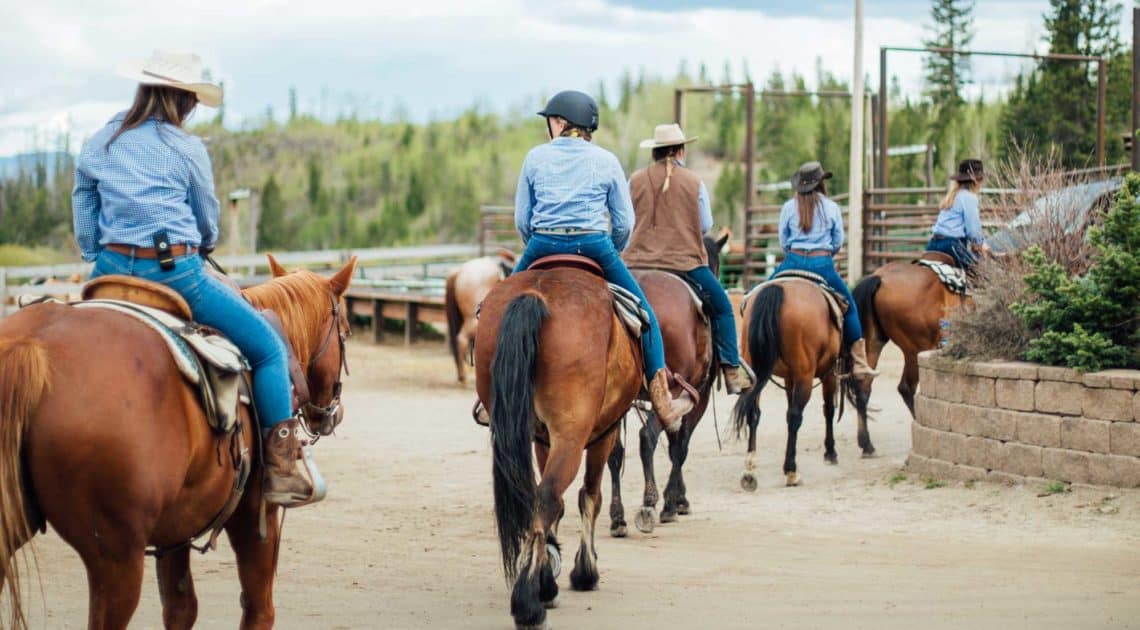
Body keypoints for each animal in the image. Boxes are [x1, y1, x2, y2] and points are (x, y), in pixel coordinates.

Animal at [0, 254, 355, 628]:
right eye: (345, 332)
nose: (333, 411)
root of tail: (33, 346)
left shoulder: (175, 530)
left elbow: (180, 607)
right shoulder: (255, 516)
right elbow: (259, 607)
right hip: (116, 559)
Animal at [476, 257, 647, 624]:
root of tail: (535, 295)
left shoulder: (541, 438)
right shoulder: (604, 434)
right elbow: (590, 496)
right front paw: (585, 571)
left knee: (537, 497)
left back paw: (536, 587)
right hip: (572, 436)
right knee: (549, 497)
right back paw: (528, 602)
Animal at [606, 228, 729, 533]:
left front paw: (678, 498)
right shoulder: (698, 394)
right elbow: (680, 446)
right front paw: (673, 503)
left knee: (614, 451)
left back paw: (617, 516)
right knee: (647, 437)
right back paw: (649, 503)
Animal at [729, 281, 870, 492]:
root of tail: (777, 289)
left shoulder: (790, 378)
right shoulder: (828, 374)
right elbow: (828, 410)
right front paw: (830, 452)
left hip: (754, 371)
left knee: (754, 413)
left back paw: (750, 470)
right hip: (805, 375)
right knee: (795, 416)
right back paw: (791, 472)